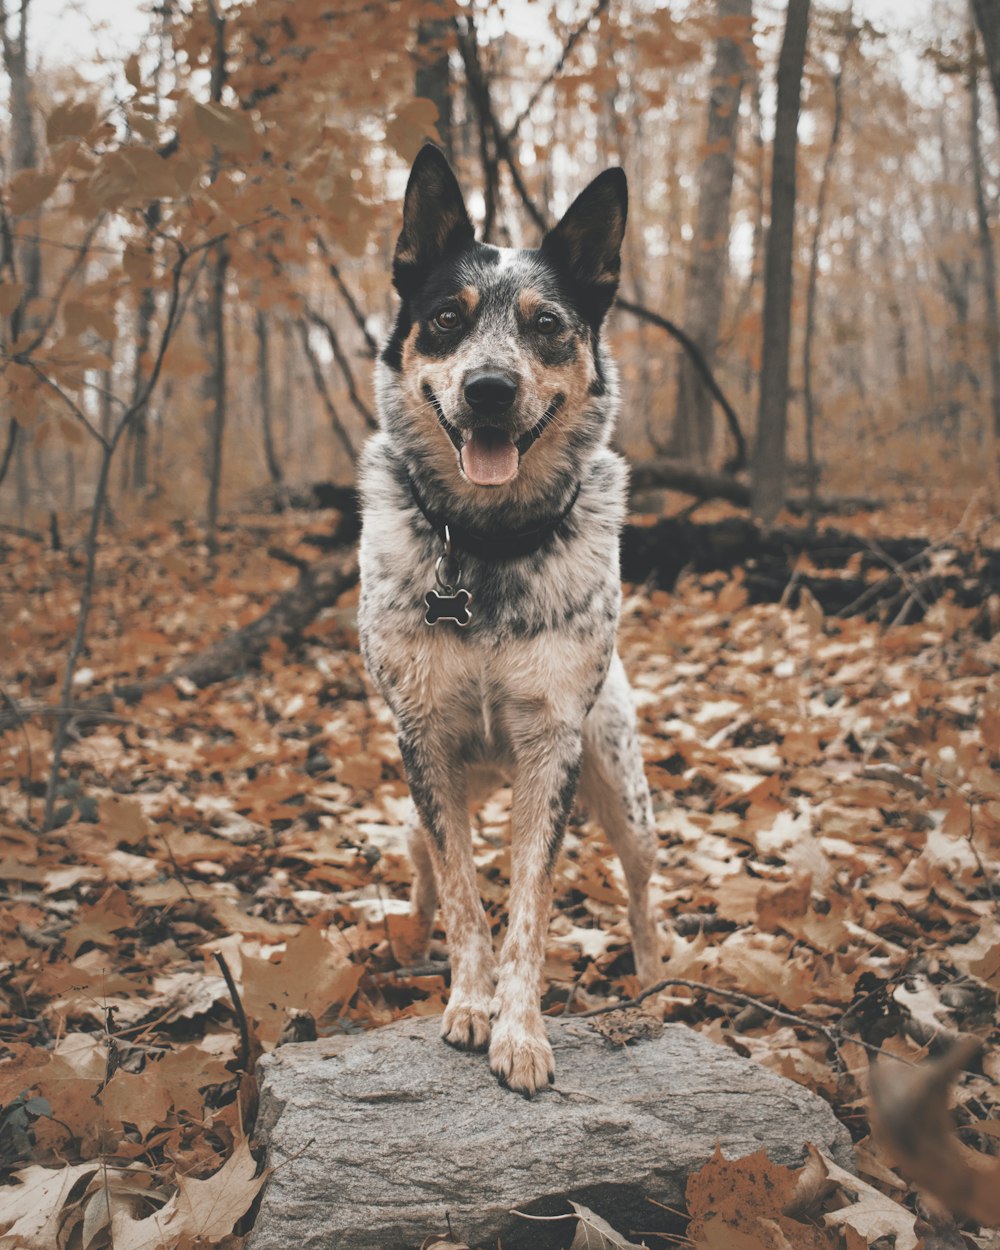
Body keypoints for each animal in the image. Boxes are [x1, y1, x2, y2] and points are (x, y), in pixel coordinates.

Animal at [355, 143, 660, 1095]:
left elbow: (530, 902)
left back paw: (657, 983)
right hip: (423, 796)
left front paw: (520, 1029)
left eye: (548, 324)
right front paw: (468, 1001)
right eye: (447, 318)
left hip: (622, 784)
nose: (490, 389)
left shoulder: (550, 743)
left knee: (644, 889)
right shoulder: (423, 738)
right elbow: (463, 891)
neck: (484, 548)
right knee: (423, 859)